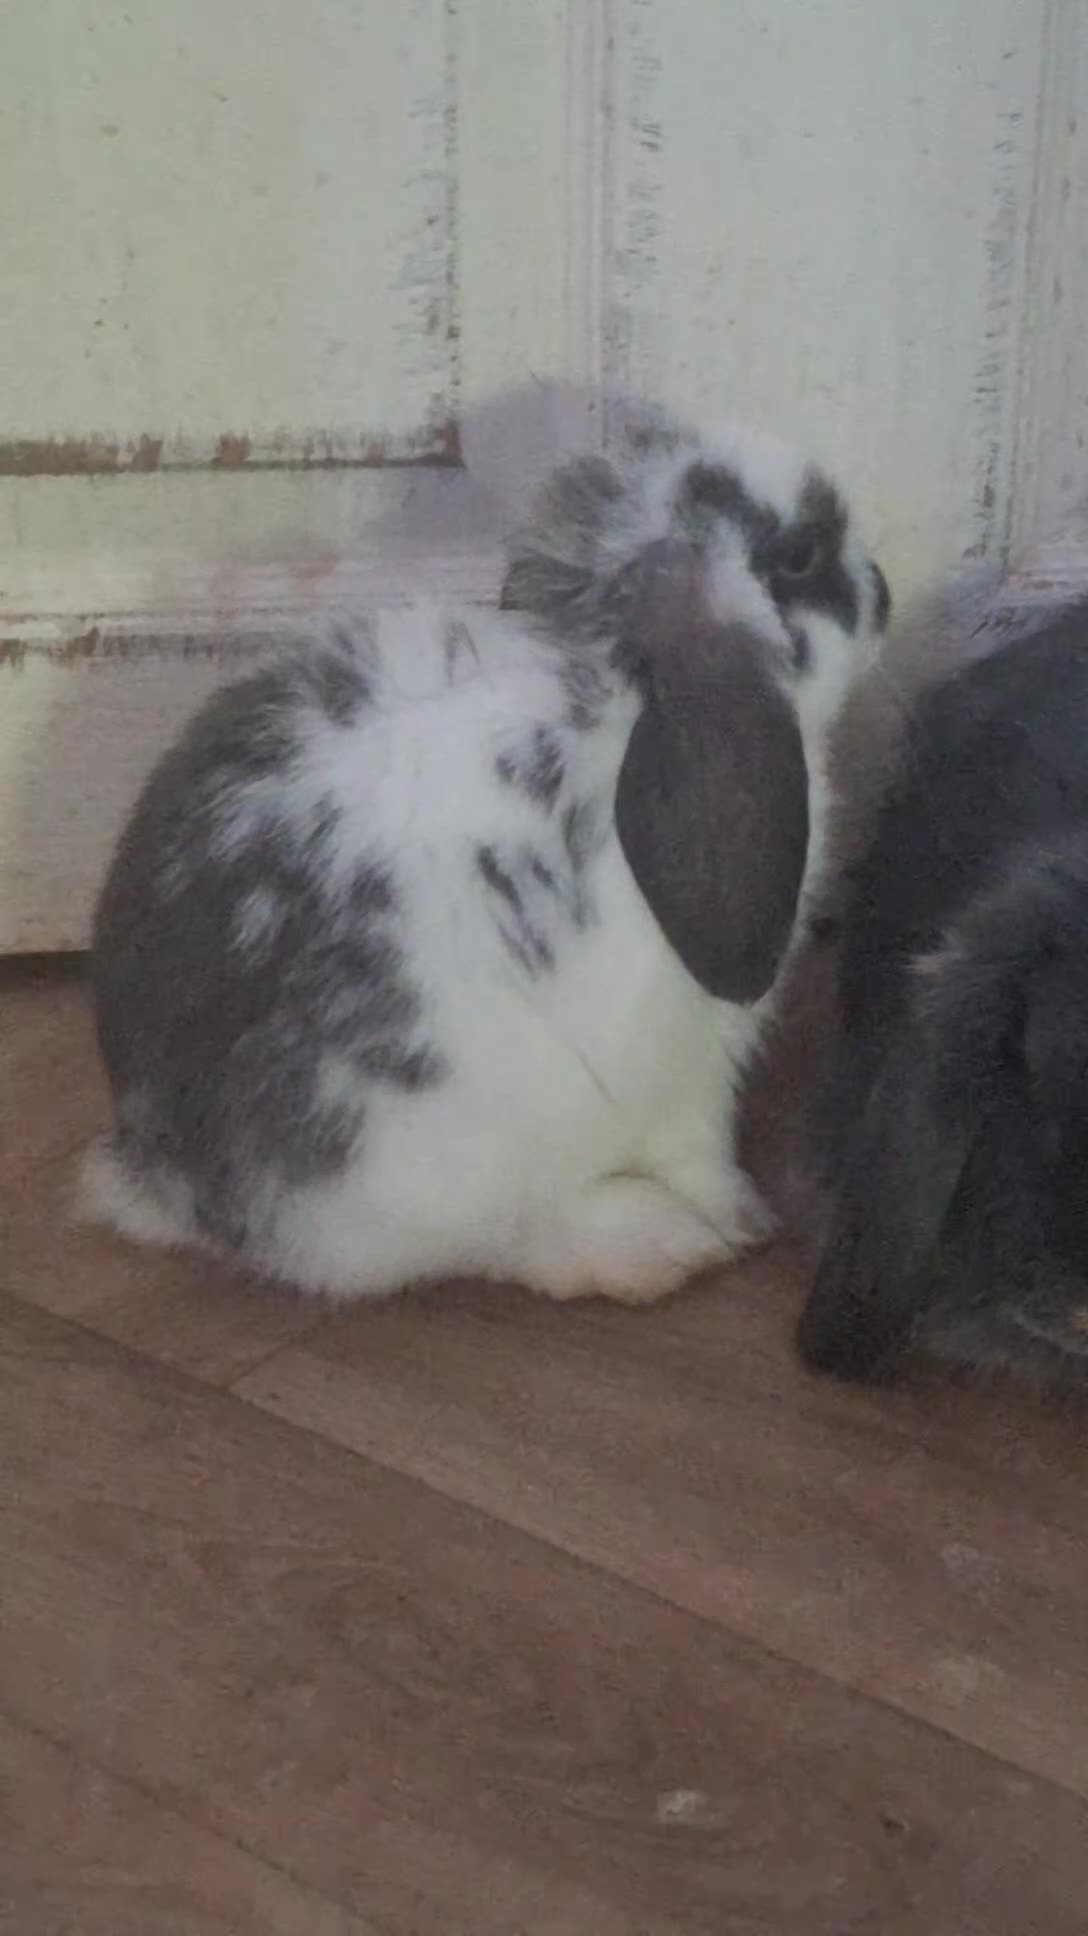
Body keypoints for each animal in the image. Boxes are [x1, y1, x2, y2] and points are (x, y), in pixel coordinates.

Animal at [81, 408, 889, 1305]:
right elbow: (699, 1155)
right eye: (800, 556)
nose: (887, 592)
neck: (629, 700)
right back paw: (653, 1244)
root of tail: (168, 1177)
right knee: (498, 1240)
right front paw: (740, 1217)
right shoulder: (695, 1068)